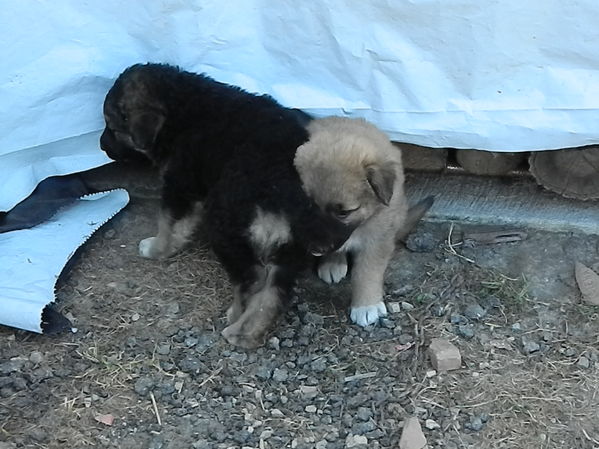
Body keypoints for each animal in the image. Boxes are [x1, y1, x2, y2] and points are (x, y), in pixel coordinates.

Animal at [100, 62, 350, 346]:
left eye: (113, 127)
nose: (101, 146)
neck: (182, 108)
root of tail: (293, 196)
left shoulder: (180, 186)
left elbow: (168, 223)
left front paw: (155, 248)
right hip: (289, 248)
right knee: (273, 293)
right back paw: (245, 333)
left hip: (227, 226)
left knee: (253, 278)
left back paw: (236, 315)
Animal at [294, 115, 408, 326]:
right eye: (308, 204)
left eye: (344, 212)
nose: (315, 249)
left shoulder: (379, 237)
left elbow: (367, 272)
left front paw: (366, 305)